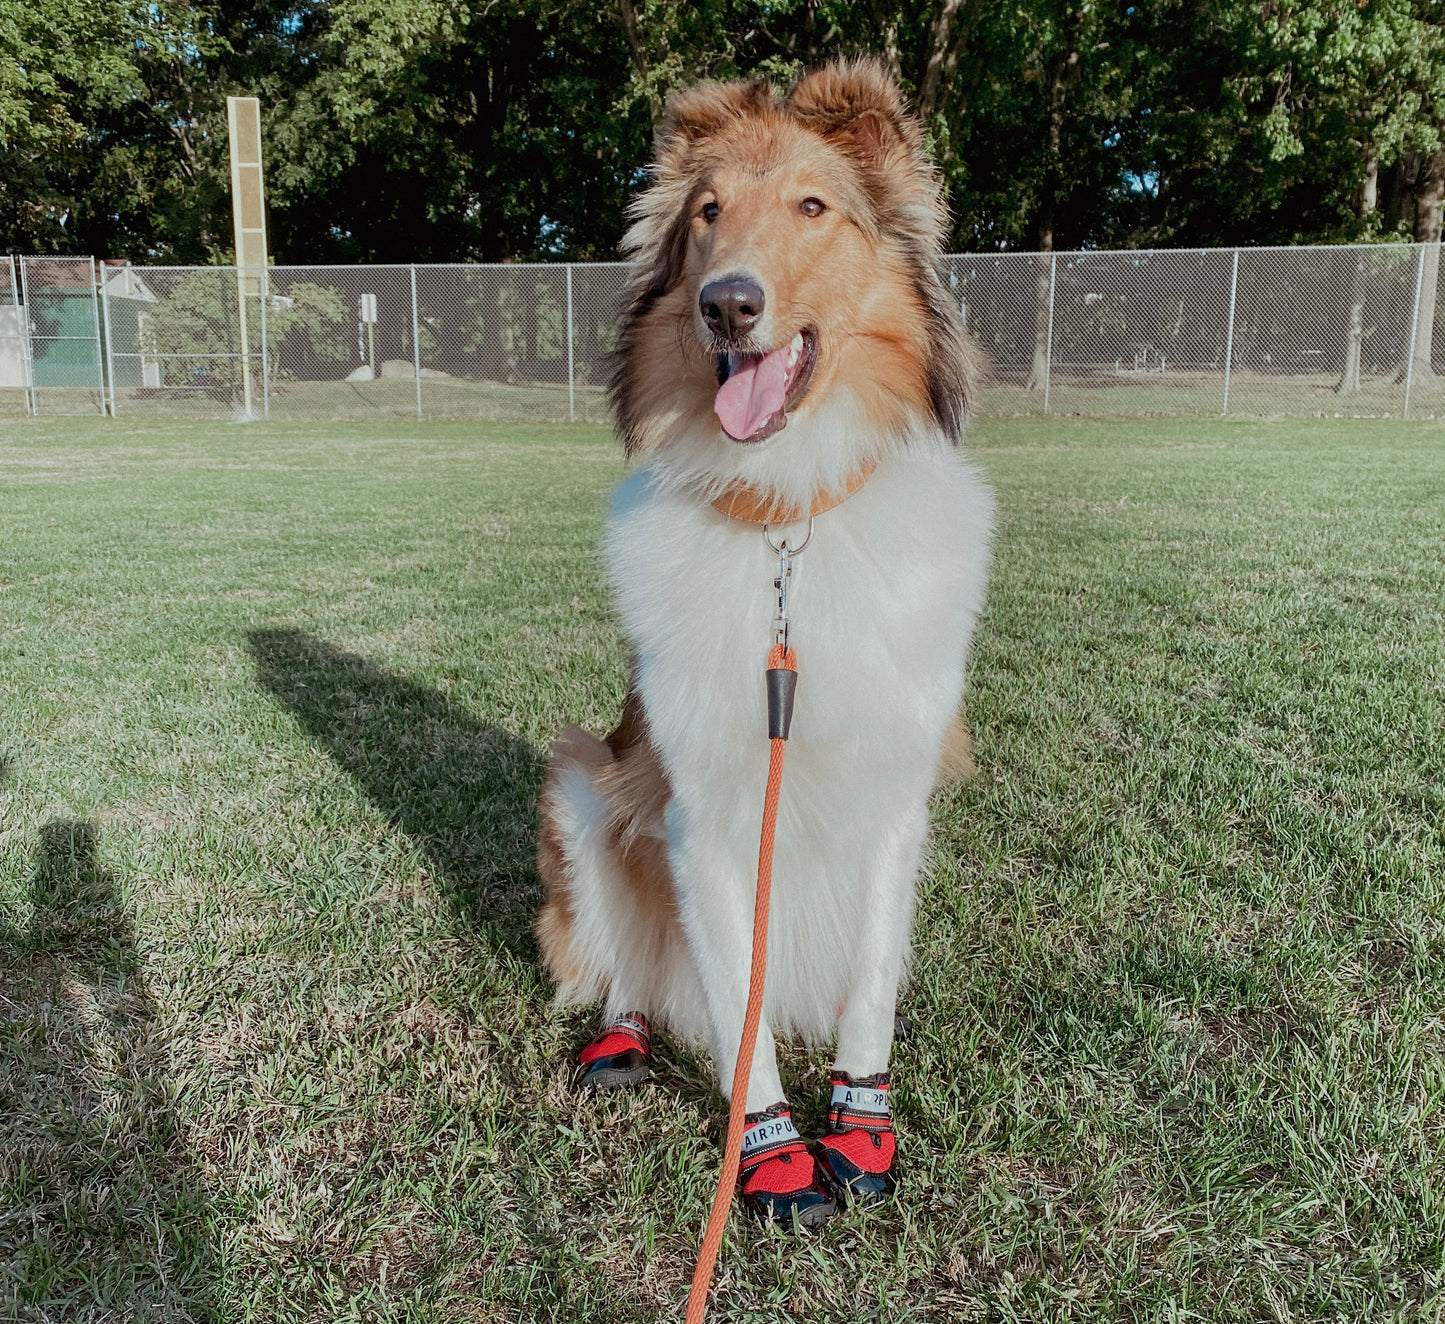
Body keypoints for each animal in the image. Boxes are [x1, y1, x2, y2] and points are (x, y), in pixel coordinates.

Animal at [534, 56, 994, 1225]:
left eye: (812, 208)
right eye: (706, 214)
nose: (726, 304)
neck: (786, 515)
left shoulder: (892, 797)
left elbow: (869, 983)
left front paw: (857, 1127)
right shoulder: (700, 812)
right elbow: (735, 1015)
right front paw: (773, 1148)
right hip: (581, 780)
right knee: (633, 968)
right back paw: (621, 1037)